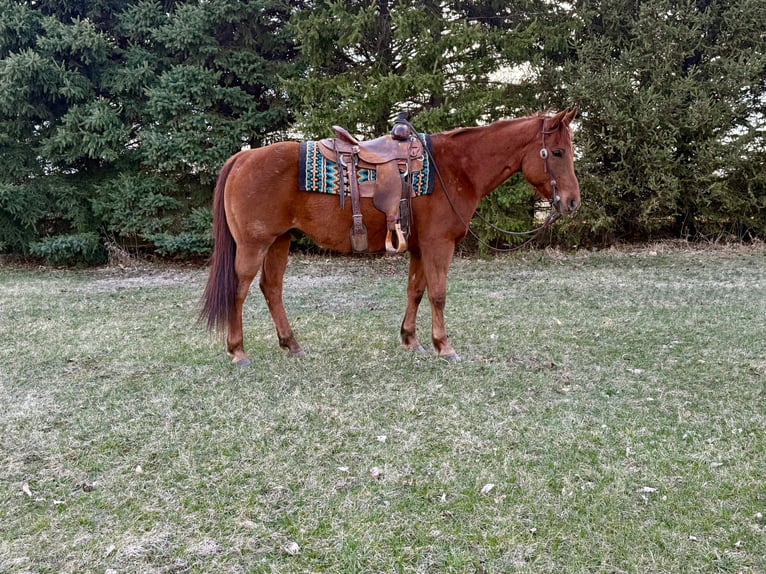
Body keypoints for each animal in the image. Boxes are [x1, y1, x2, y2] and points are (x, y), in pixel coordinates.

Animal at [200, 110, 580, 365]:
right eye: (557, 152)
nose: (573, 201)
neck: (455, 168)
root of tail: (242, 158)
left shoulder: (419, 247)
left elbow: (416, 291)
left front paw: (411, 340)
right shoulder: (438, 245)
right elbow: (438, 294)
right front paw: (444, 346)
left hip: (280, 241)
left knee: (272, 289)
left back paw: (291, 344)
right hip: (254, 245)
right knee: (239, 290)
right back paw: (238, 351)